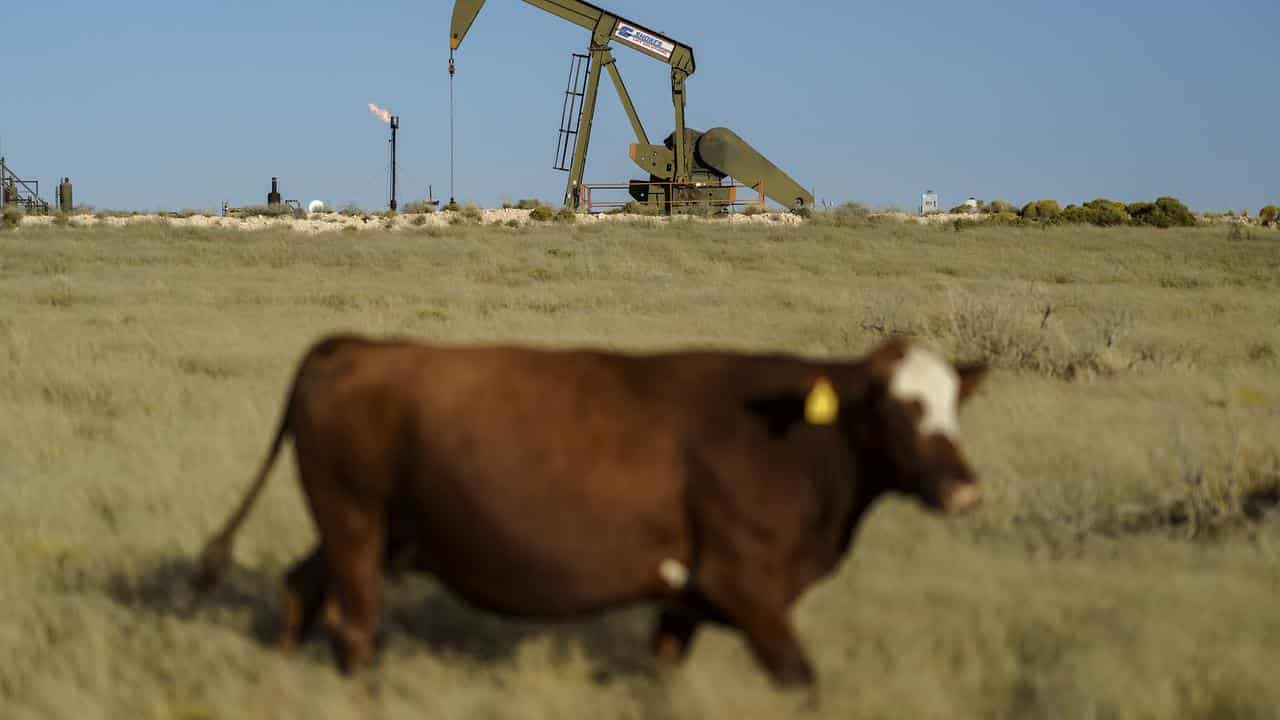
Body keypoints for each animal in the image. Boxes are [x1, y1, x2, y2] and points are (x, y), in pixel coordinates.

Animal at [192, 333, 988, 686]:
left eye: (955, 405)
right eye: (897, 407)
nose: (964, 489)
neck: (796, 439)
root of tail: (353, 347)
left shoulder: (685, 600)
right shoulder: (746, 586)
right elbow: (802, 681)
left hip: (363, 530)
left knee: (300, 588)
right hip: (356, 525)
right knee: (352, 626)